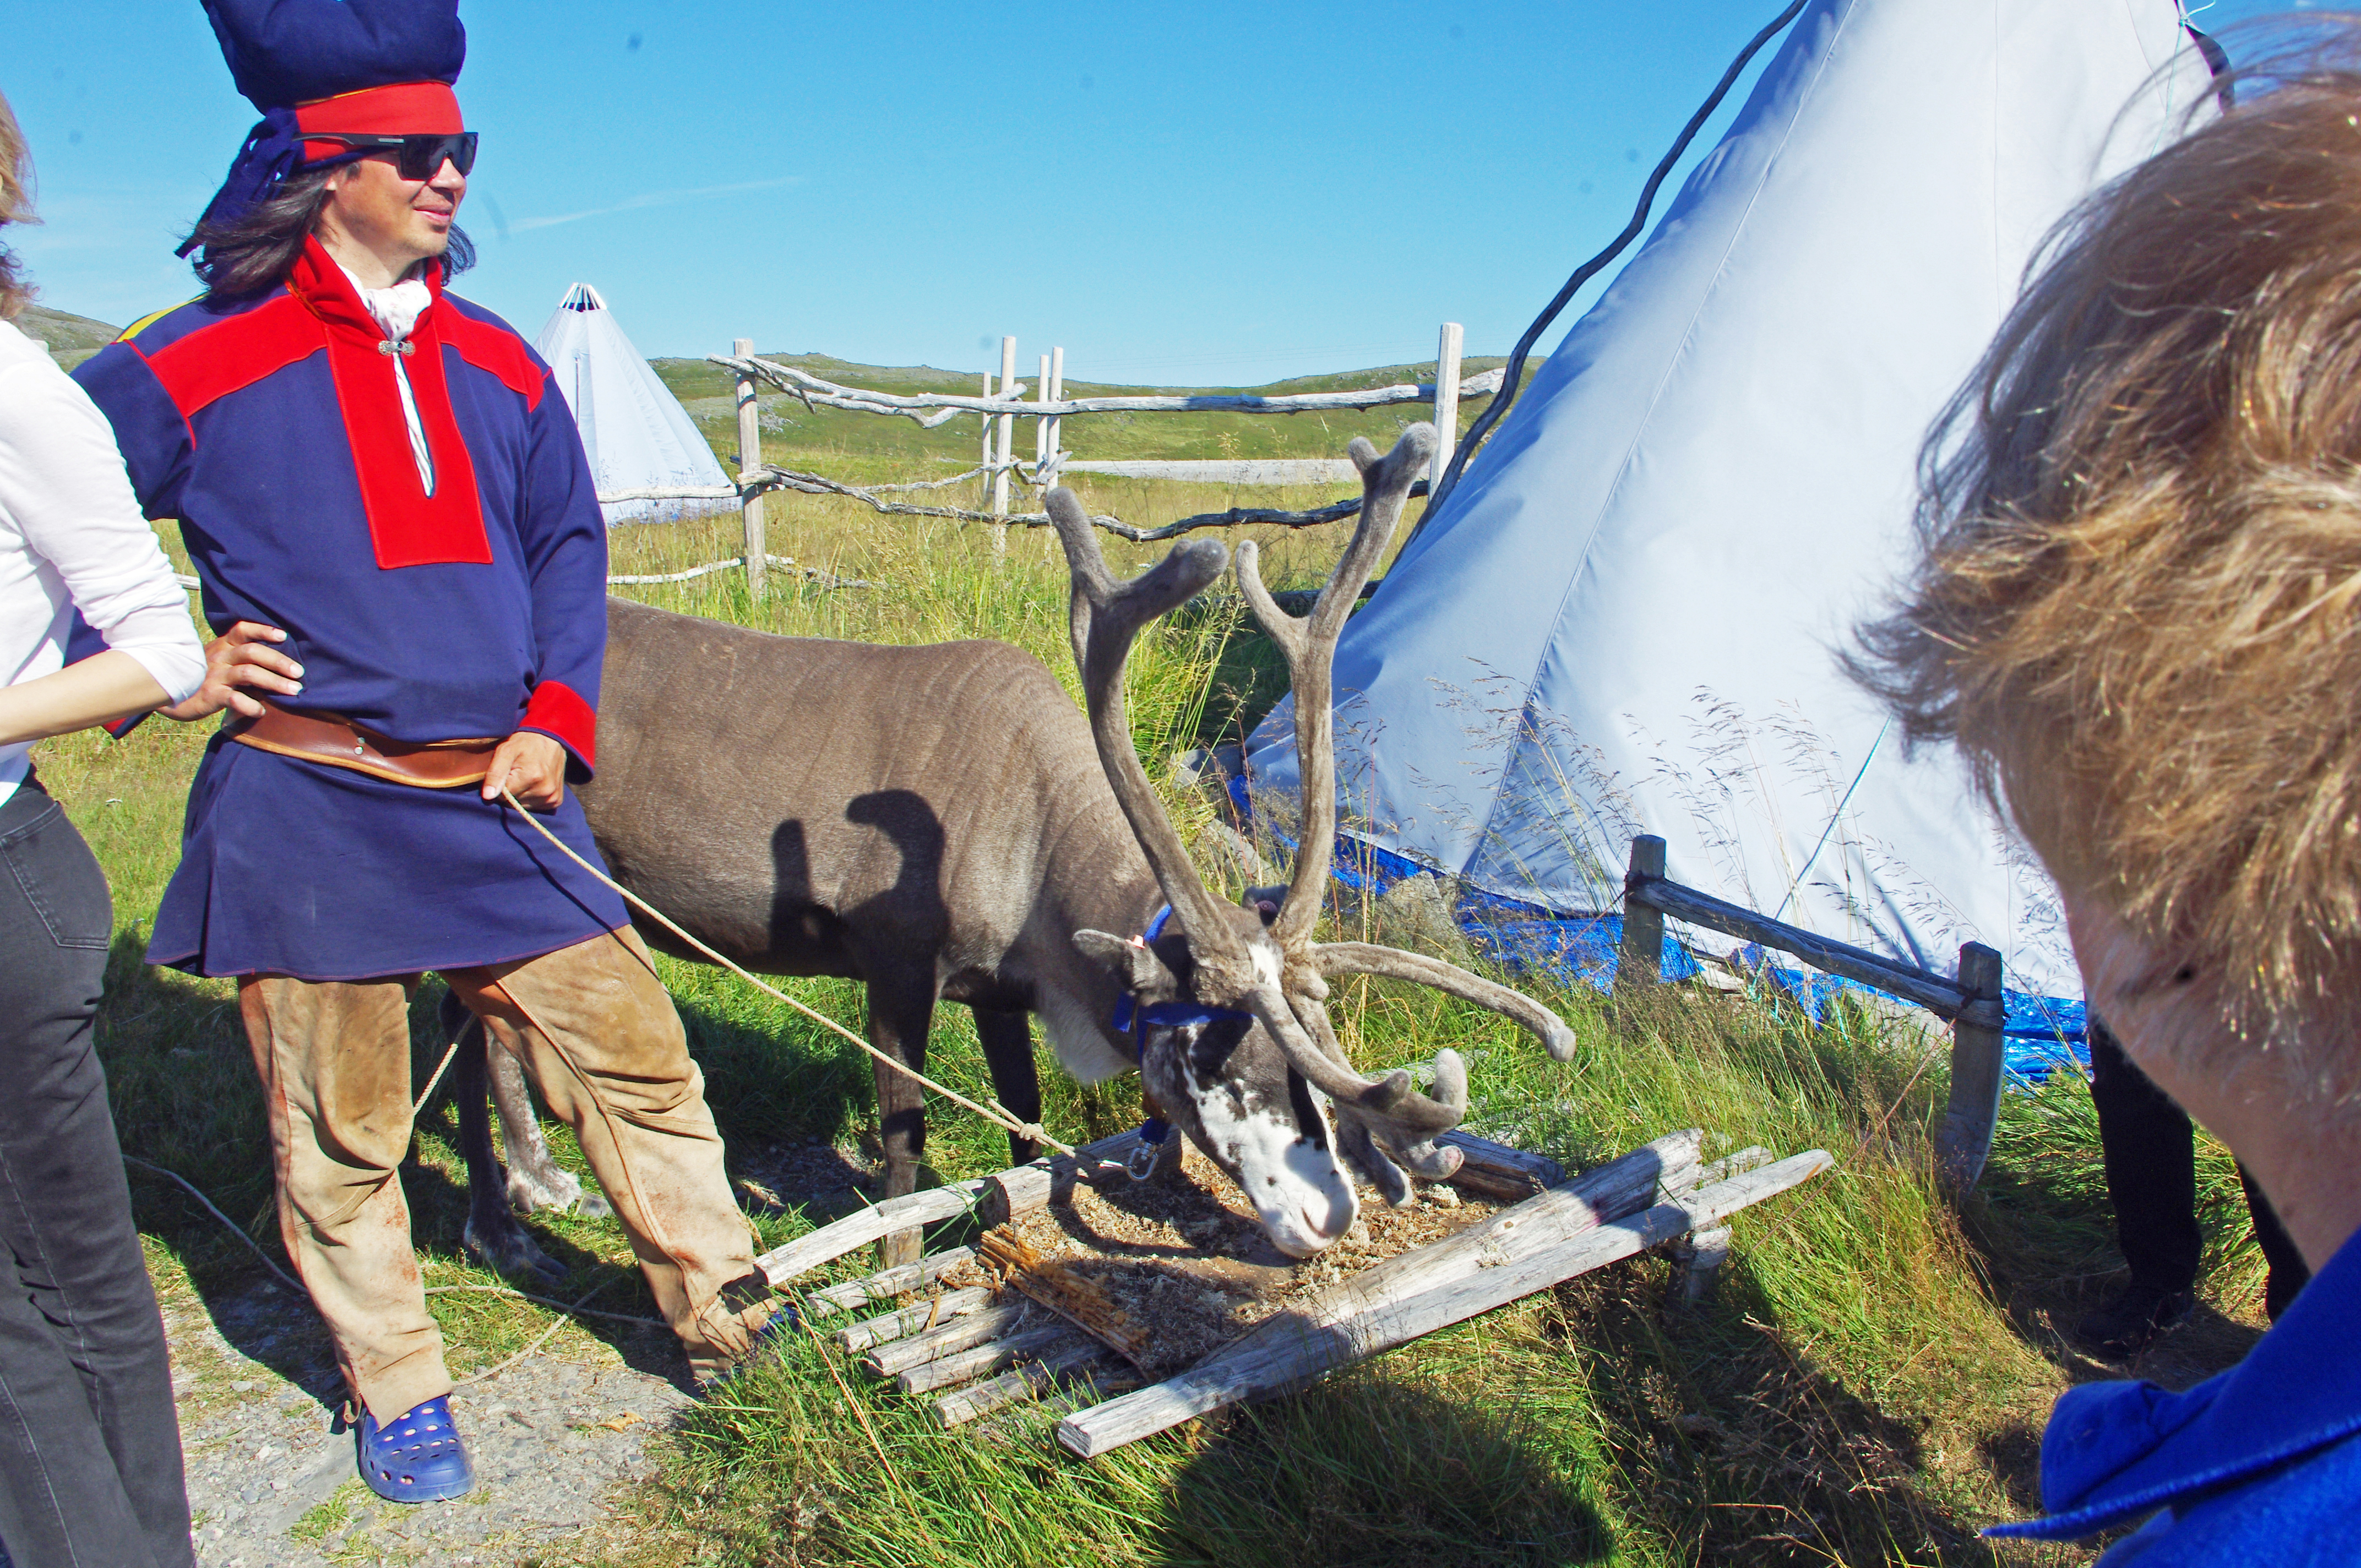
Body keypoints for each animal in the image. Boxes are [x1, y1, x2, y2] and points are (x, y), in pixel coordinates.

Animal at [445, 425, 1577, 1279]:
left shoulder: (995, 990)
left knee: (479, 1025)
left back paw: (538, 1185)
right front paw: (896, 1265)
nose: (1329, 1219)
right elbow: (903, 1147)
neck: (1033, 861)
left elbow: (1026, 1119)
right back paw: (505, 1220)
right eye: (1211, 1043)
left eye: (1317, 1024)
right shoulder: (894, 967)